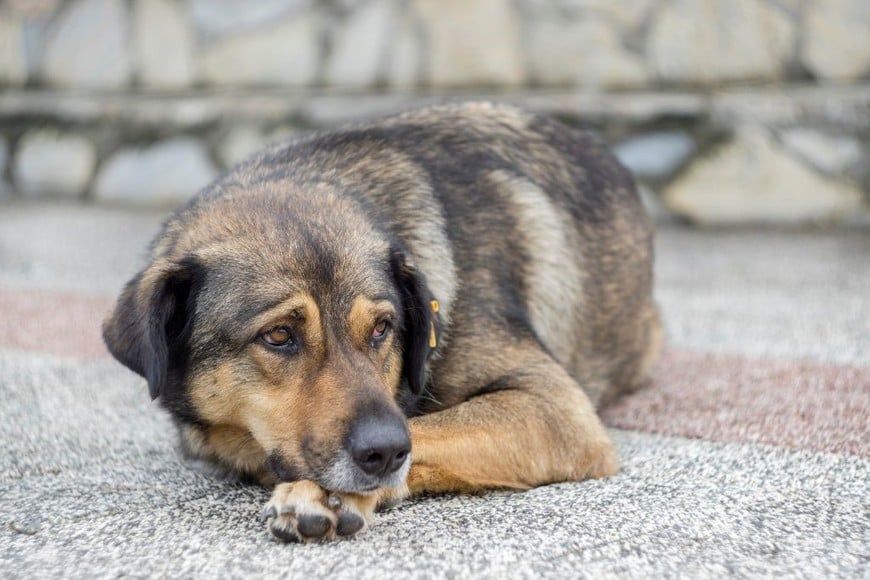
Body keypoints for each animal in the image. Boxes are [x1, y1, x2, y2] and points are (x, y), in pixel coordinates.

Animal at [102, 102, 660, 540]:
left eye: (381, 329)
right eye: (279, 335)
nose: (386, 452)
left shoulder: (556, 406)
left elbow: (428, 428)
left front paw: (325, 495)